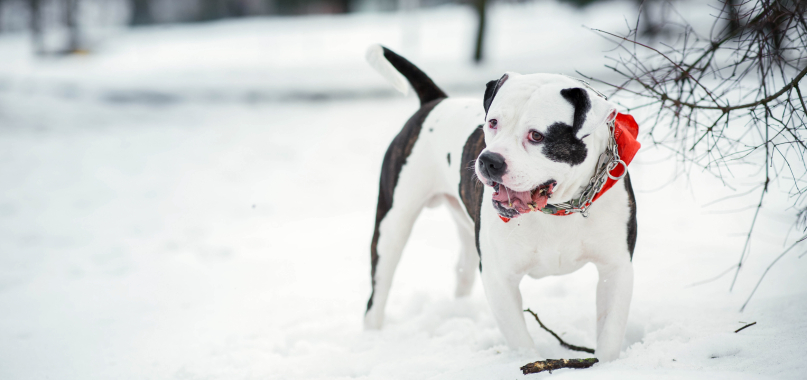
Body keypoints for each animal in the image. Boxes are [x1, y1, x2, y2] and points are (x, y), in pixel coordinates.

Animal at [364, 46, 636, 360]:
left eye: (536, 135)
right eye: (493, 122)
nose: (489, 160)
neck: (558, 211)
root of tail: (437, 101)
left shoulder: (616, 268)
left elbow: (610, 334)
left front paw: (605, 363)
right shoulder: (499, 277)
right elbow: (521, 341)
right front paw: (531, 362)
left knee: (462, 268)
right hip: (392, 224)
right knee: (378, 287)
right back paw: (372, 336)